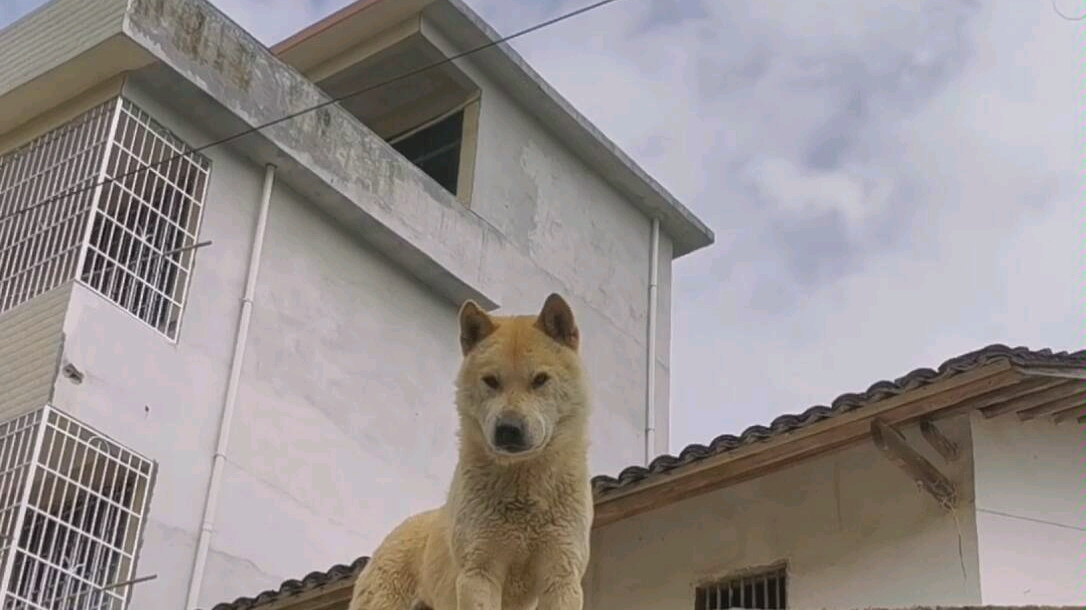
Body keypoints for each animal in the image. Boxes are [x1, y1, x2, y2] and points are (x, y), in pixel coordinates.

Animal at [349, 293, 595, 603]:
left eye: (540, 379)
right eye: (491, 380)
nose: (508, 429)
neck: (523, 488)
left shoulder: (562, 575)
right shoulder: (479, 572)